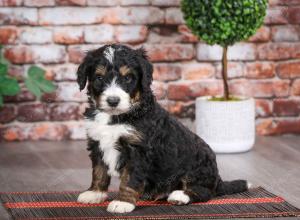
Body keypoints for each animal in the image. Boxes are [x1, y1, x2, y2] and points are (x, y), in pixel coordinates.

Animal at [76, 44, 250, 213]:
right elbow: (99, 172)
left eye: (127, 78)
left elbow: (129, 179)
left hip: (197, 167)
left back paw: (180, 196)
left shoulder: (138, 151)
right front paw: (95, 193)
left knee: (204, 192)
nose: (113, 101)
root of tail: (217, 179)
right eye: (99, 77)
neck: (116, 117)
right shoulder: (97, 143)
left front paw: (123, 202)